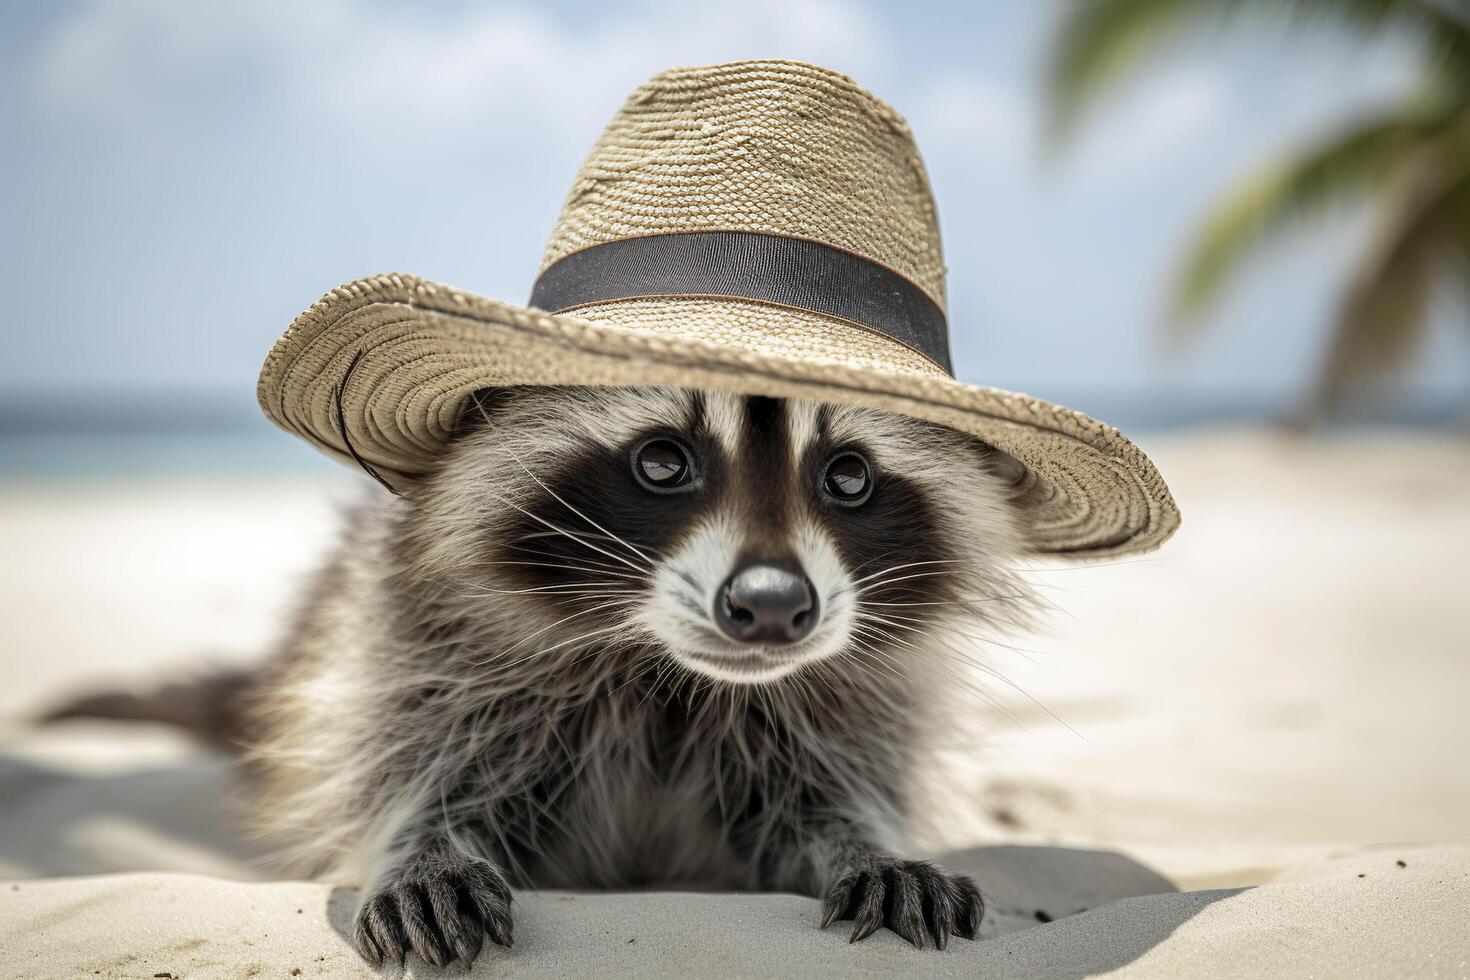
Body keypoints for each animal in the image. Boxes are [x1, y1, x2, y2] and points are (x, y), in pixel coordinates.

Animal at [241, 382, 1040, 963]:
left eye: (848, 475)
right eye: (662, 462)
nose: (772, 605)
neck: (665, 672)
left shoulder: (839, 710)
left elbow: (820, 801)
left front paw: (871, 846)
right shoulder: (418, 654)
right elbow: (411, 776)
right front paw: (418, 850)